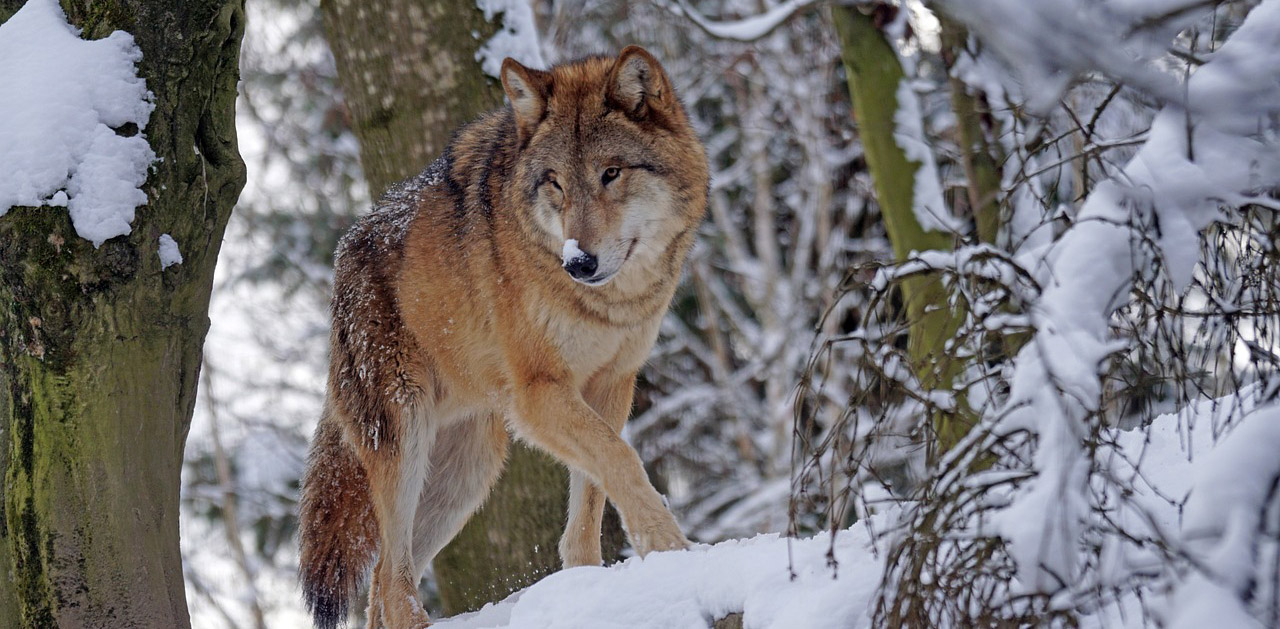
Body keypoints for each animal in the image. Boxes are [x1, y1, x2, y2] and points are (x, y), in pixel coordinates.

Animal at [297, 46, 709, 629]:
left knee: (380, 581)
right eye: (555, 181)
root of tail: (343, 255)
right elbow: (623, 461)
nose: (579, 262)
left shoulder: (611, 385)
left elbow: (592, 496)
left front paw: (589, 586)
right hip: (406, 440)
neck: (608, 305)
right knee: (390, 577)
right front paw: (670, 549)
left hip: (467, 473)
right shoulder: (538, 393)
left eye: (611, 173)